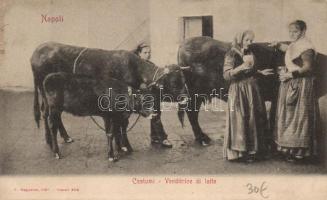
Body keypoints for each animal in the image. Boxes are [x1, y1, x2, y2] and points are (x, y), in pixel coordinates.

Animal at [31, 41, 190, 148]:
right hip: (48, 96)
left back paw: (64, 137)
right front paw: (122, 146)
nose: (186, 97)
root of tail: (37, 51)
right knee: (47, 114)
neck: (135, 68)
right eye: (174, 83)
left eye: (184, 80)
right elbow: (121, 123)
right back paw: (51, 140)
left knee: (54, 115)